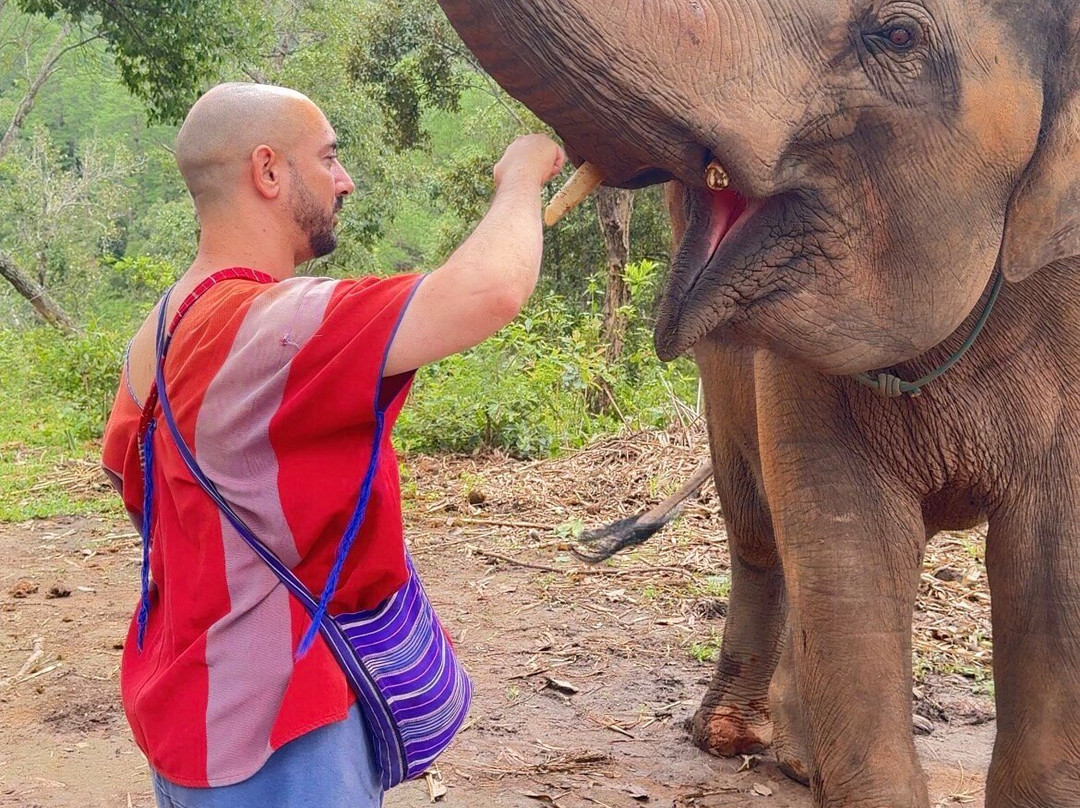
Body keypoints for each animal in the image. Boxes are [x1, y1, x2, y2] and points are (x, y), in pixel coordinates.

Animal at [432, 1, 1080, 806]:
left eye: (897, 34)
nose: (532, 161)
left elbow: (1053, 573)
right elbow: (848, 555)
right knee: (763, 534)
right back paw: (737, 741)